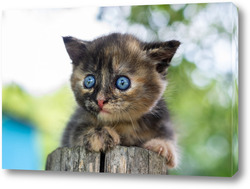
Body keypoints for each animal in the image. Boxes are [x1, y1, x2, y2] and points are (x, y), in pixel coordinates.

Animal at [61, 32, 181, 168]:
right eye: (89, 81)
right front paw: (99, 134)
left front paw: (163, 146)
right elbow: (77, 132)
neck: (124, 124)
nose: (100, 100)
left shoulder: (163, 121)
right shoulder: (74, 125)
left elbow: (168, 135)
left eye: (122, 82)